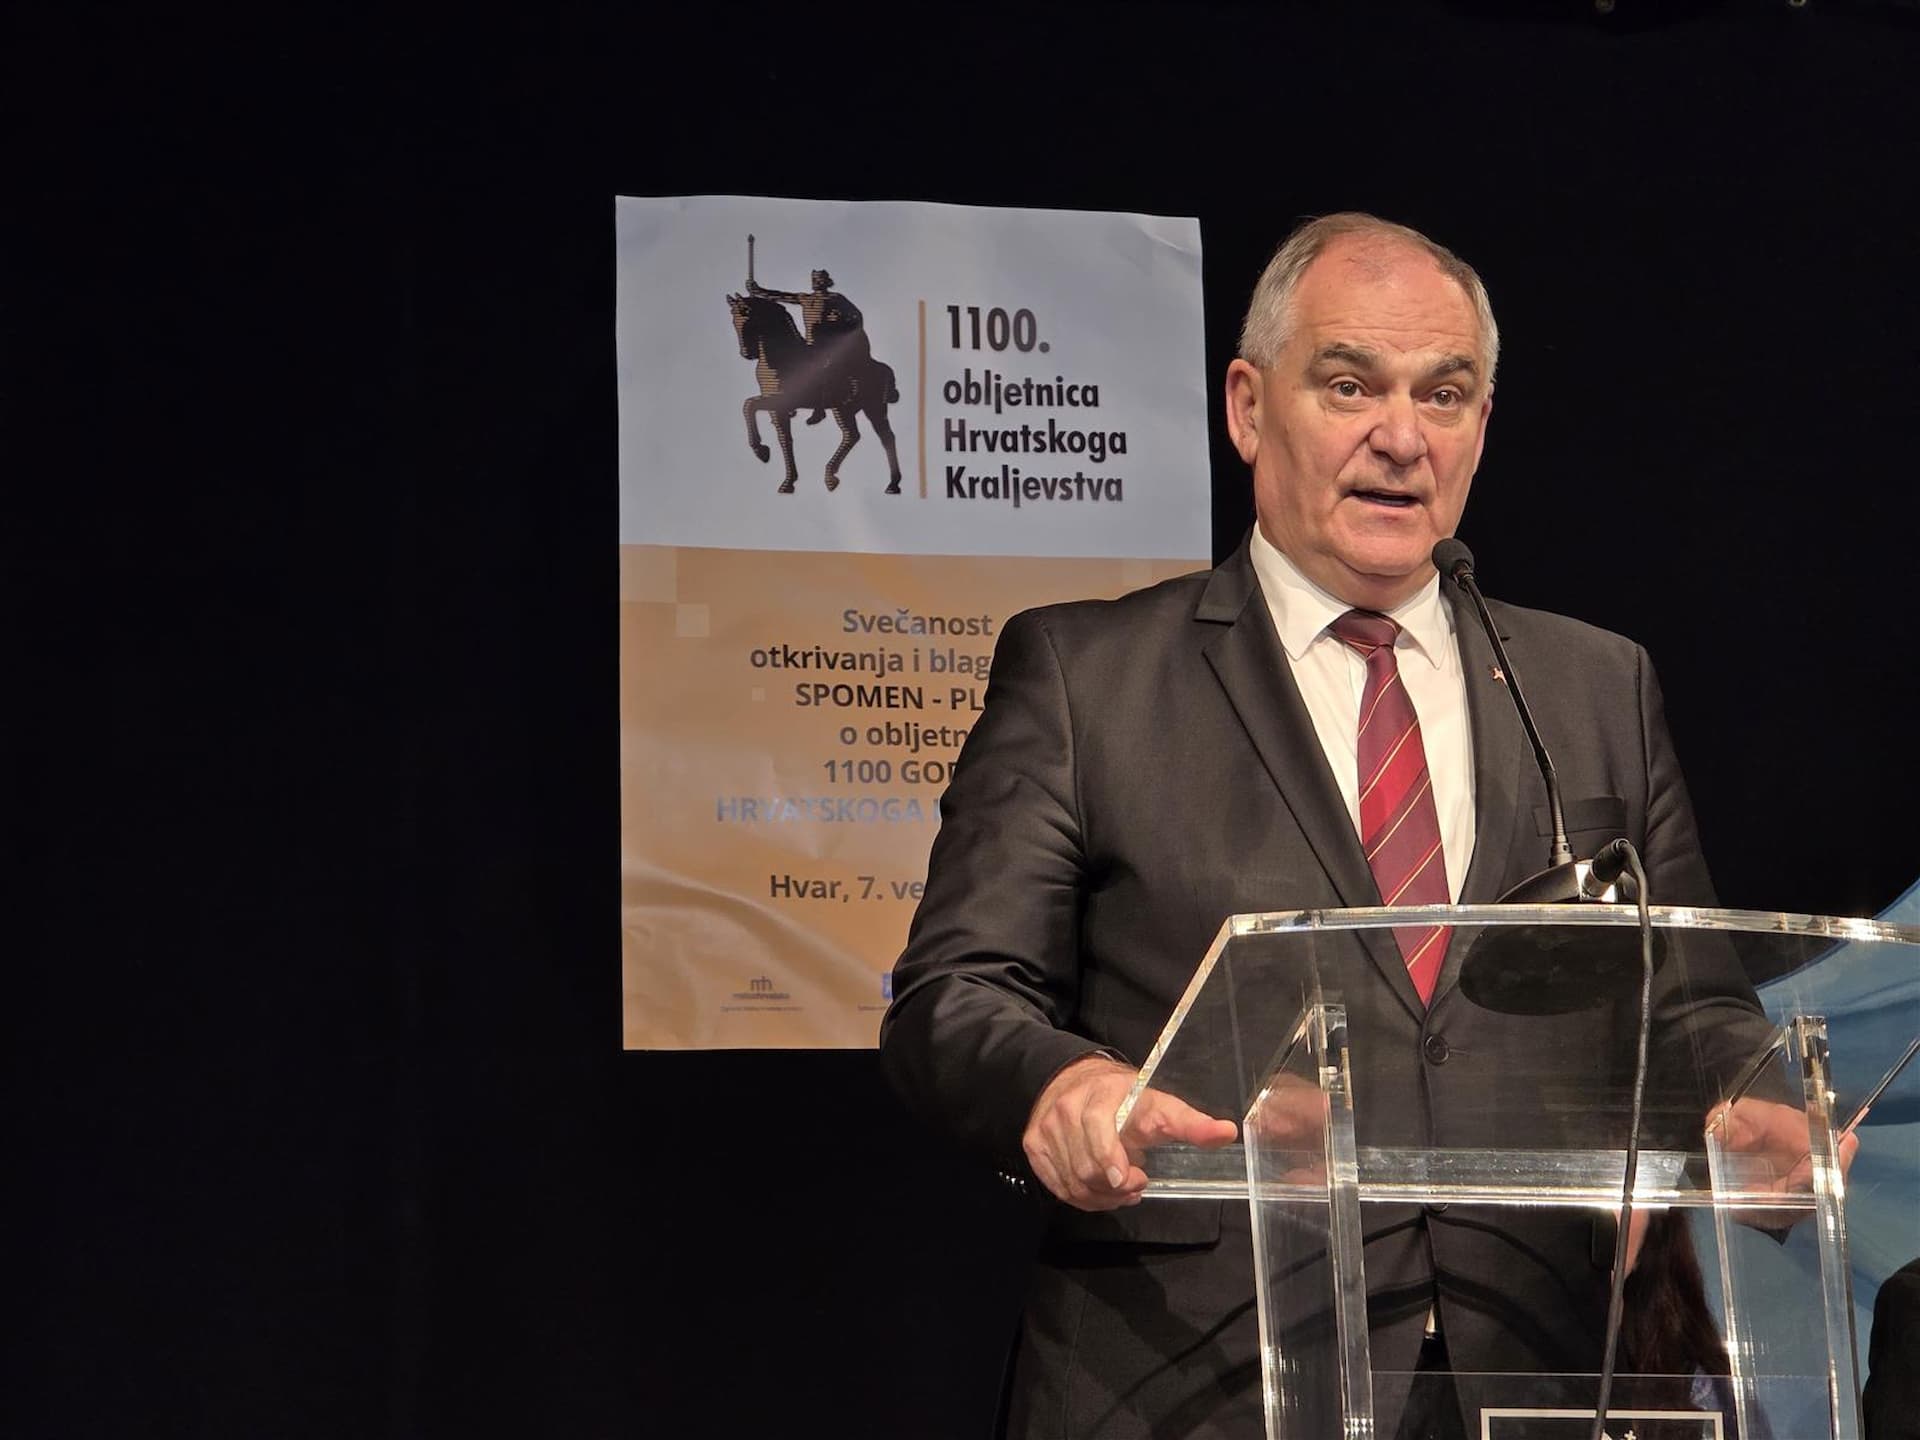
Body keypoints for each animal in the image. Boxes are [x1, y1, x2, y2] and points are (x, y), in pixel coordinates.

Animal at [725, 293, 903, 495]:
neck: (782, 357)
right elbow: (783, 438)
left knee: (863, 436)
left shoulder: (781, 400)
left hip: (857, 407)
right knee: (874, 436)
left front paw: (761, 451)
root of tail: (879, 366)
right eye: (734, 320)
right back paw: (889, 483)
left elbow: (749, 405)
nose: (747, 354)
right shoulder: (777, 409)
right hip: (860, 408)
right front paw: (787, 482)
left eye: (747, 316)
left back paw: (836, 478)